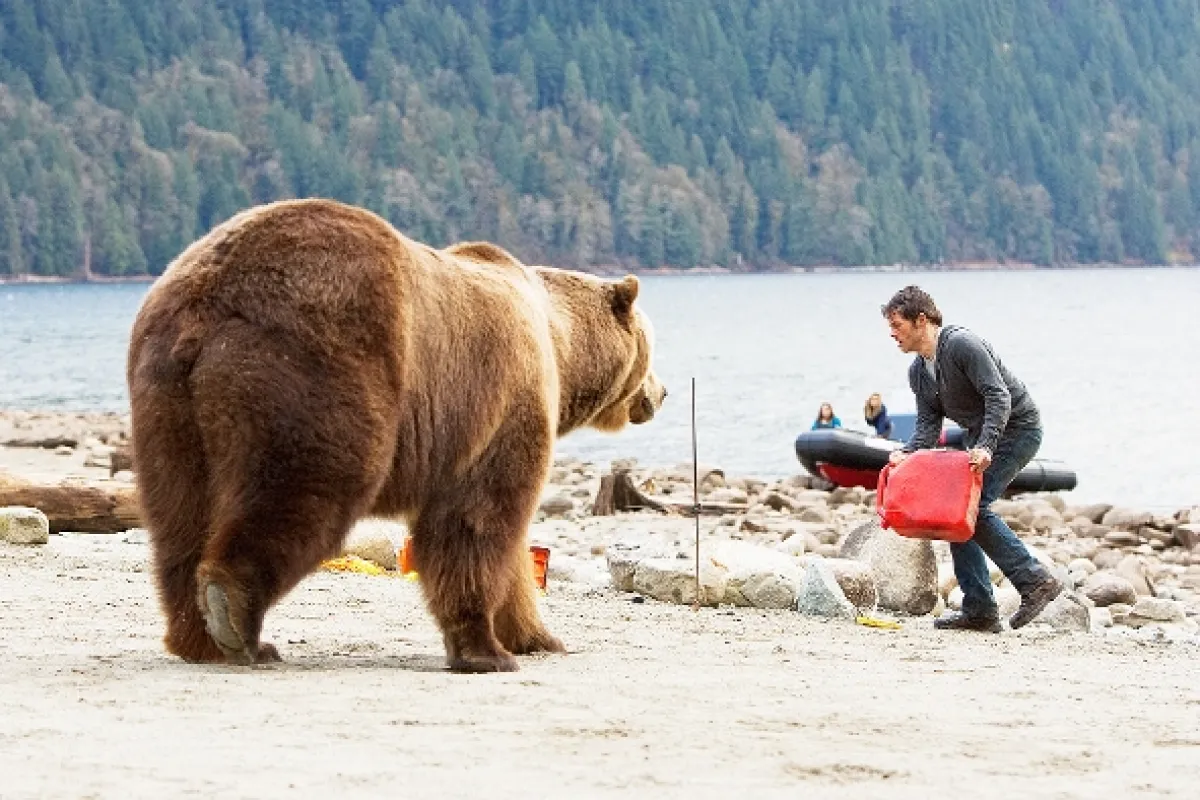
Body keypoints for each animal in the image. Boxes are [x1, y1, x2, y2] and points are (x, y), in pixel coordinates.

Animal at [126, 198, 665, 673]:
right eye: (651, 347)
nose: (660, 394)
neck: (561, 345)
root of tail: (210, 300)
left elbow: (507, 545)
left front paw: (536, 636)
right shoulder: (500, 409)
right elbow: (479, 521)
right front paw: (486, 650)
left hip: (166, 402)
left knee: (182, 514)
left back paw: (200, 638)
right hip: (317, 370)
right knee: (302, 490)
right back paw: (235, 615)